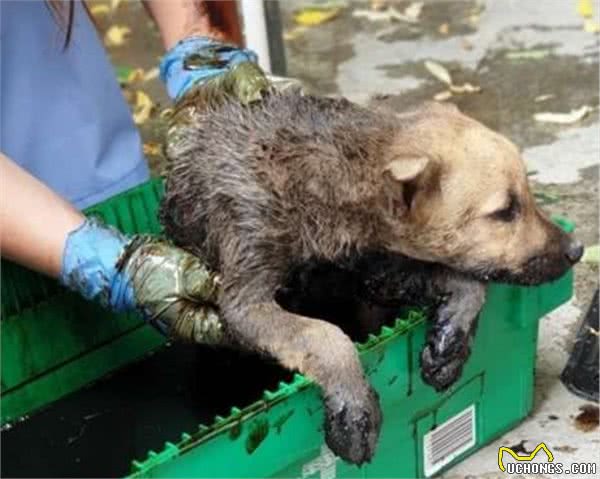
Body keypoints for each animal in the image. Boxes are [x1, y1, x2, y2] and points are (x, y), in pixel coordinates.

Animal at [159, 94, 580, 464]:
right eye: (505, 211)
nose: (576, 249)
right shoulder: (247, 292)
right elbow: (324, 334)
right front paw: (354, 409)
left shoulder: (374, 269)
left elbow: (465, 283)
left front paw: (451, 342)